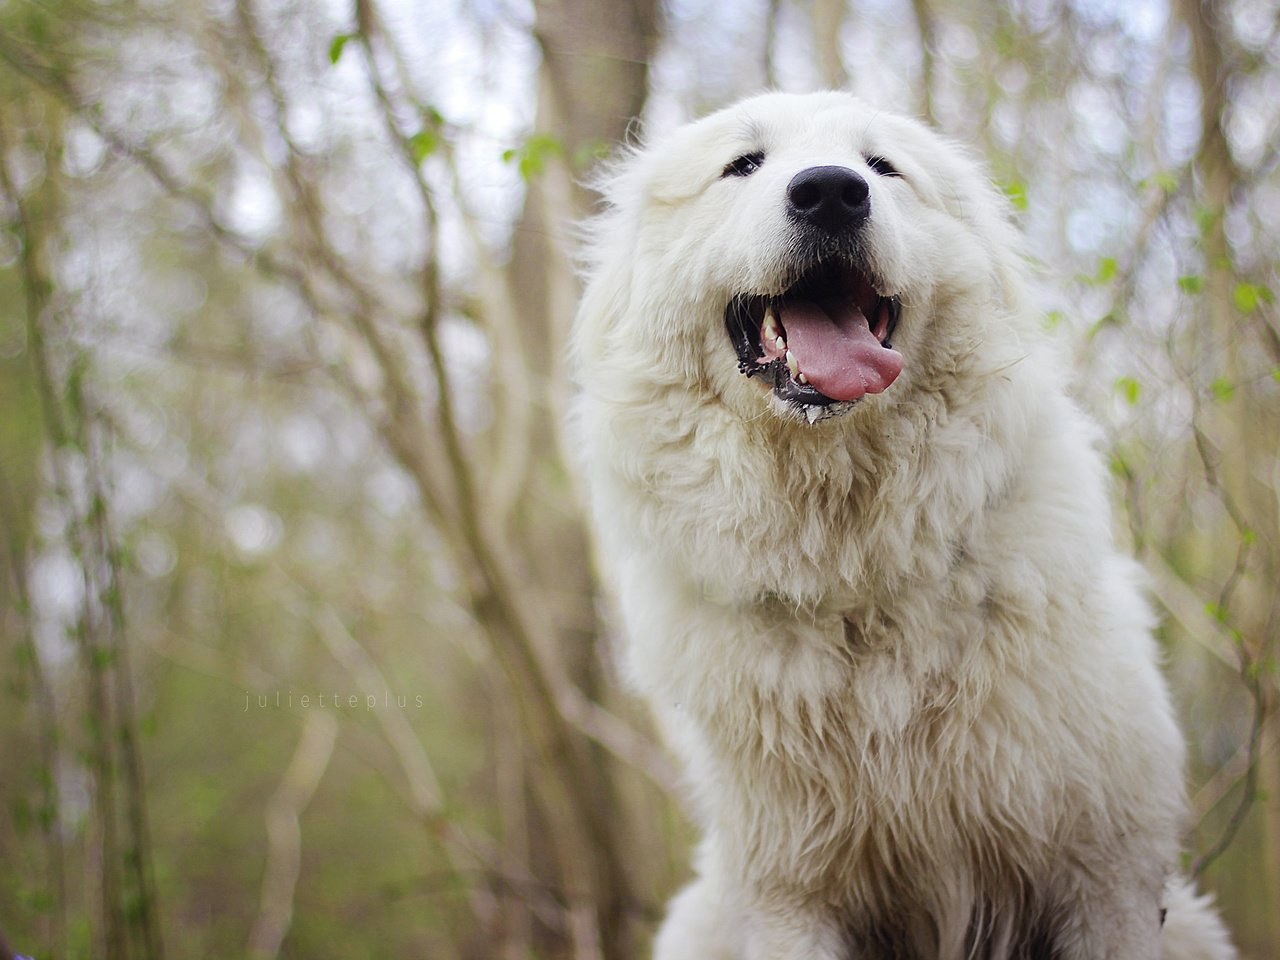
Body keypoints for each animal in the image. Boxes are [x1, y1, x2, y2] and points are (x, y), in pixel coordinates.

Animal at [570, 92, 1228, 960]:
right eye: (742, 164)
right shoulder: (792, 900)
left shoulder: (1107, 876)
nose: (830, 192)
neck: (856, 572)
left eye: (881, 168)